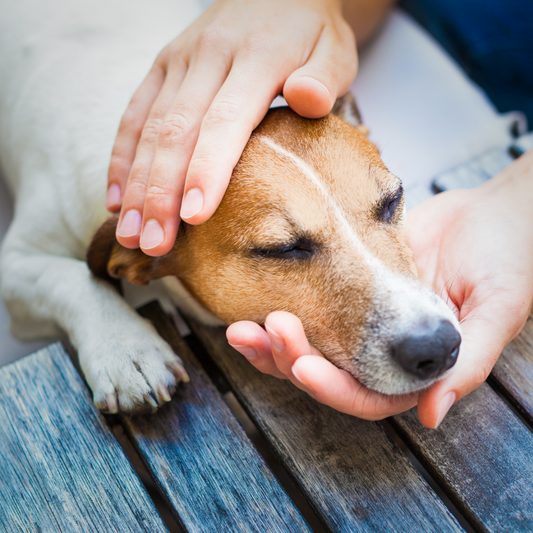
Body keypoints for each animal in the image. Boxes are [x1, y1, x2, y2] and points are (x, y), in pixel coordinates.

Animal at [0, 0, 460, 412]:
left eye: (393, 200)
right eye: (282, 249)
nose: (437, 345)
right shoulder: (16, 266)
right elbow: (73, 279)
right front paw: (125, 349)